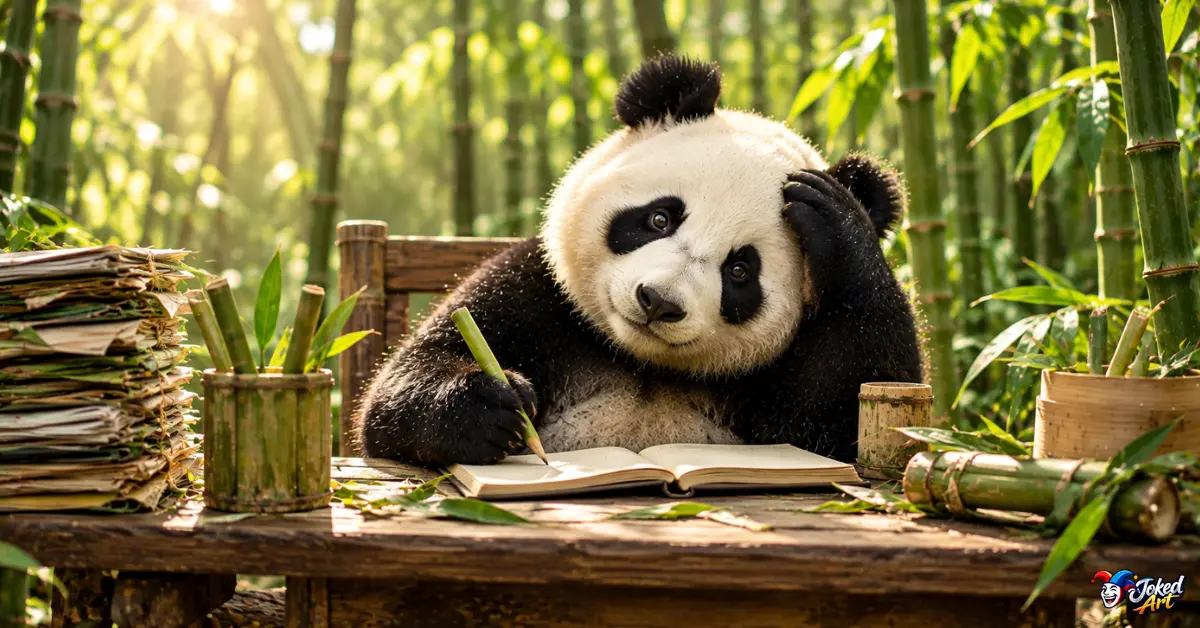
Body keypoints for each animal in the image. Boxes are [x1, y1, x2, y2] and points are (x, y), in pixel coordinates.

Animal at [358, 55, 923, 466]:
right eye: (659, 218)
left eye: (740, 272)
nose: (657, 301)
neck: (637, 359)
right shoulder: (533, 293)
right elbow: (402, 385)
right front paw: (493, 407)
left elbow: (848, 414)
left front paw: (836, 215)